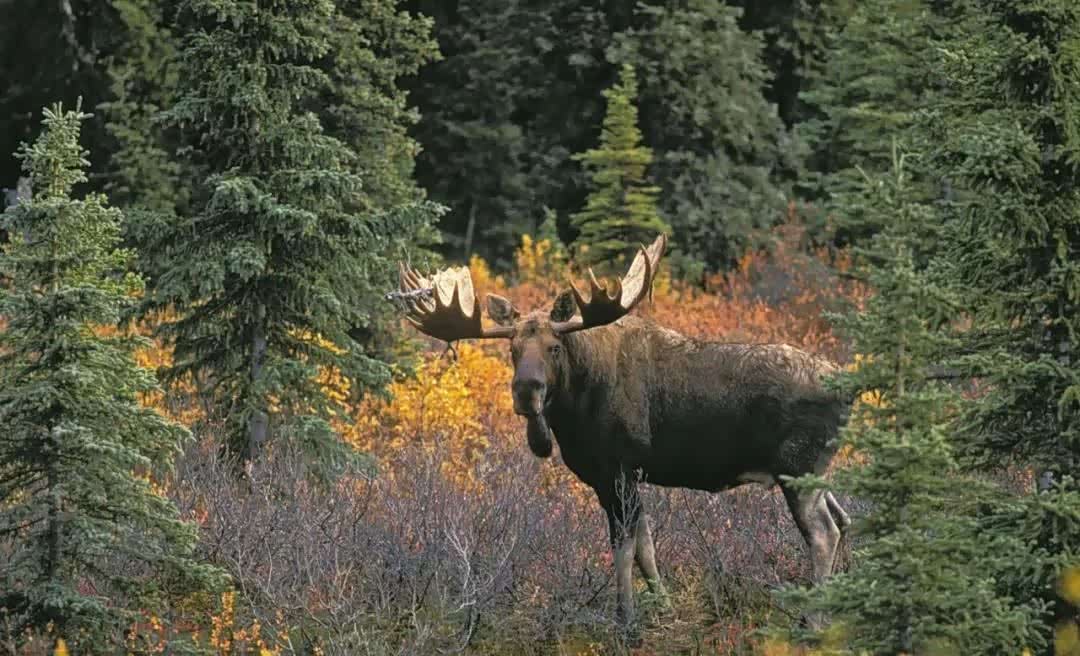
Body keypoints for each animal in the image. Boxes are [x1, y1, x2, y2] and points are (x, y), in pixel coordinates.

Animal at [391, 234, 851, 624]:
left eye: (554, 347)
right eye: (513, 349)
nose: (526, 392)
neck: (575, 409)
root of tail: (847, 388)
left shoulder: (616, 469)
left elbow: (623, 548)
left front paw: (625, 617)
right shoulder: (621, 476)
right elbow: (646, 547)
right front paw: (662, 608)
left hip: (797, 468)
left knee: (823, 532)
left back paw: (815, 618)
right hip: (816, 470)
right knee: (843, 517)